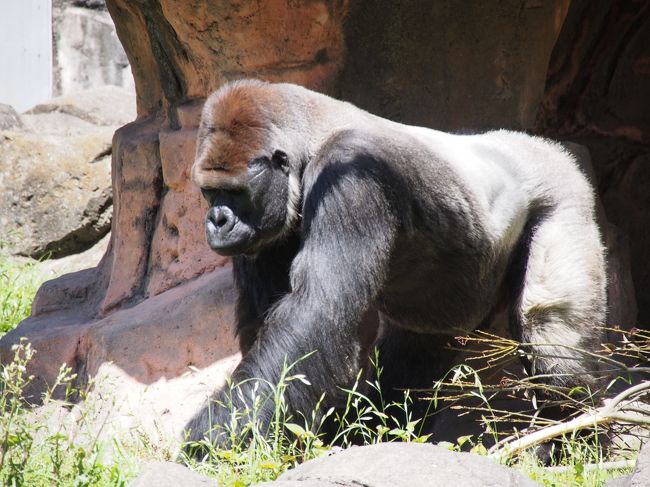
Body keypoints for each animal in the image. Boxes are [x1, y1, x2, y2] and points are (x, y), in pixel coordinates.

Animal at [185, 79, 604, 450]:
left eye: (235, 192)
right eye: (209, 192)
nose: (217, 221)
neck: (309, 140)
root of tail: (547, 146)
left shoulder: (349, 172)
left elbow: (315, 311)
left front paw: (213, 438)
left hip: (565, 193)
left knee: (550, 338)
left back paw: (579, 434)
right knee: (414, 357)